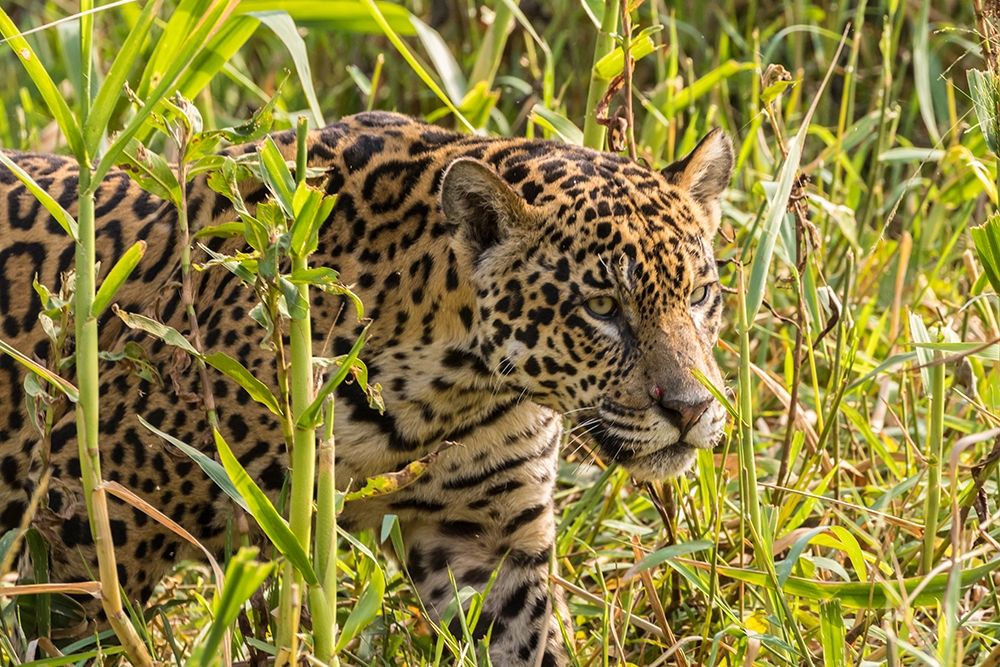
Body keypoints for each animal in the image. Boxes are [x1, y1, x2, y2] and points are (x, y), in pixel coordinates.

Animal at [0, 111, 733, 665]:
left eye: (701, 295)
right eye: (602, 308)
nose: (692, 408)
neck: (453, 388)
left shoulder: (489, 537)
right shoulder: (95, 520)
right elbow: (78, 636)